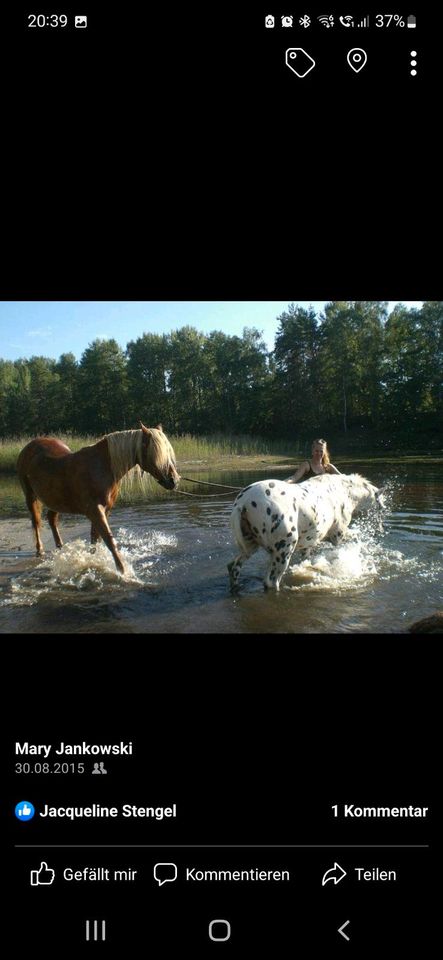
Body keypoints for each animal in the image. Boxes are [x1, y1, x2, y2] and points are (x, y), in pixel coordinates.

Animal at [16, 424, 180, 572]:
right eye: (157, 454)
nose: (174, 480)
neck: (102, 467)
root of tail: (29, 446)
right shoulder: (95, 511)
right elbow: (109, 539)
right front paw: (122, 571)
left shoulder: (105, 510)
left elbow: (96, 539)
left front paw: (94, 559)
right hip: (31, 497)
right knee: (36, 522)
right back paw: (40, 550)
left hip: (56, 500)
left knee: (51, 519)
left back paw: (60, 548)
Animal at [229, 474, 386, 592]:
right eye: (380, 506)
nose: (381, 530)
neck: (345, 491)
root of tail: (243, 502)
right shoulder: (338, 536)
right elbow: (356, 536)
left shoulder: (308, 545)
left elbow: (306, 561)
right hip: (283, 553)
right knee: (271, 582)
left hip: (250, 547)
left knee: (233, 566)